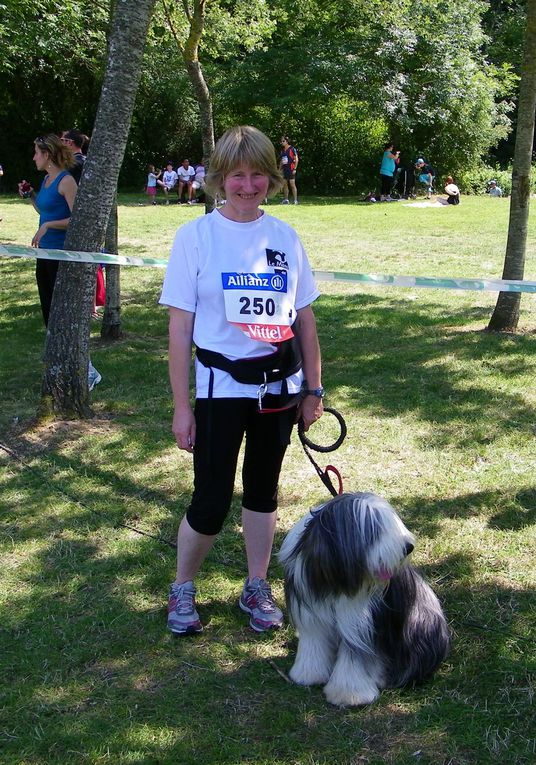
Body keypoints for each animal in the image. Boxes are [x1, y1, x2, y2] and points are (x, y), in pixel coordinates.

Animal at [278, 492, 450, 708]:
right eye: (375, 531)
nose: (408, 548)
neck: (334, 580)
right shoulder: (312, 618)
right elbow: (313, 645)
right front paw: (308, 675)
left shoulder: (358, 624)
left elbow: (355, 659)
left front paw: (349, 694)